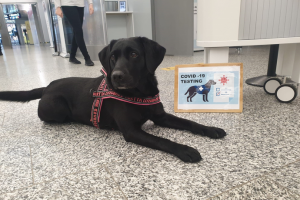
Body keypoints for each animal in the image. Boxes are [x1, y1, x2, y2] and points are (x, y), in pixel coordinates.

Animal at [0, 37, 225, 162]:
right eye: (113, 57)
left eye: (134, 54)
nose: (116, 76)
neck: (139, 93)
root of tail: (47, 86)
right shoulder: (131, 131)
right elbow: (162, 140)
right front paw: (185, 149)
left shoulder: (160, 116)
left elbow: (189, 122)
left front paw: (210, 129)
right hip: (57, 108)